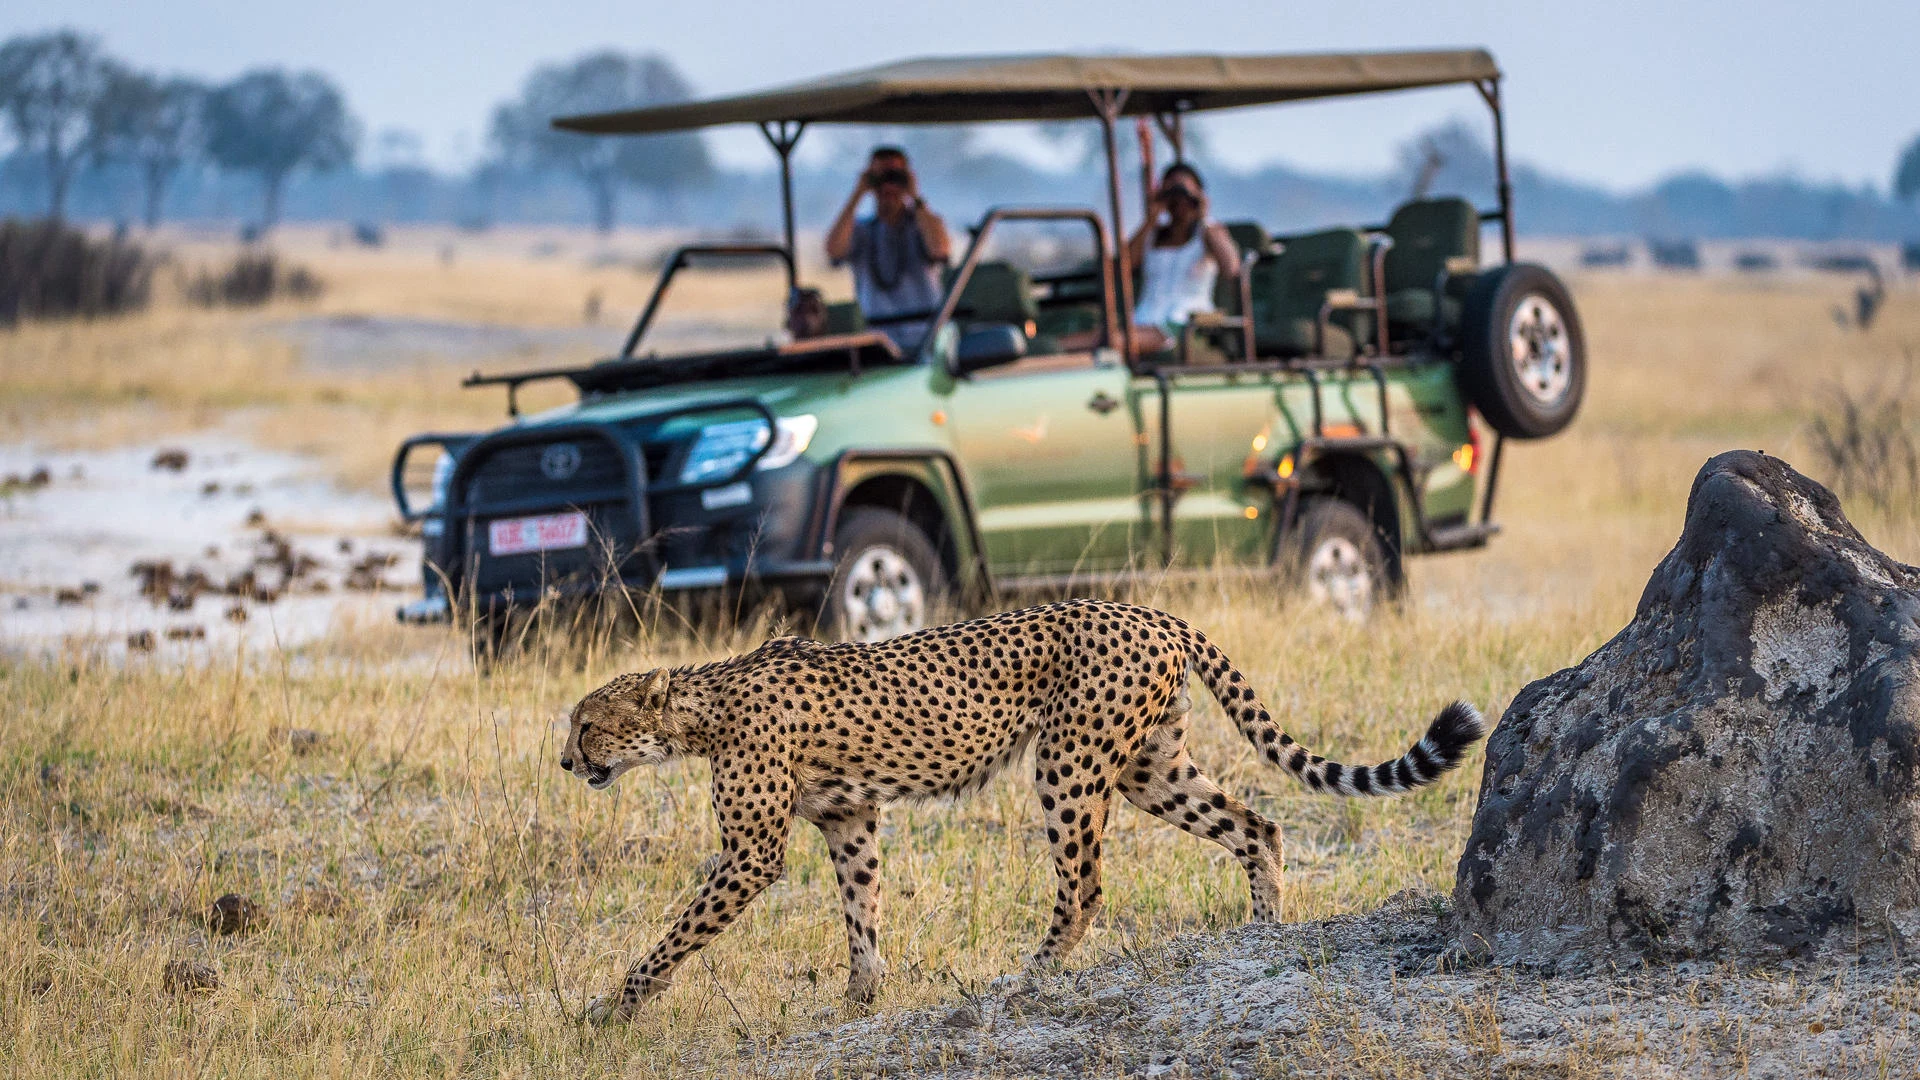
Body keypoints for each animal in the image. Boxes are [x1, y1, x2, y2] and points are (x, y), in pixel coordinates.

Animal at [560, 598, 1485, 1023]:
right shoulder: (850, 819)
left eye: (588, 724)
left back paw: (1032, 975)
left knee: (1085, 890)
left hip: (1068, 764)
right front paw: (861, 998)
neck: (701, 707)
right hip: (1150, 766)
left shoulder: (754, 850)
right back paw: (1261, 934)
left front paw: (614, 1008)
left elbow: (677, 933)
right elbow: (862, 911)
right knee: (1257, 825)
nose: (567, 761)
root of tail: (1150, 610)